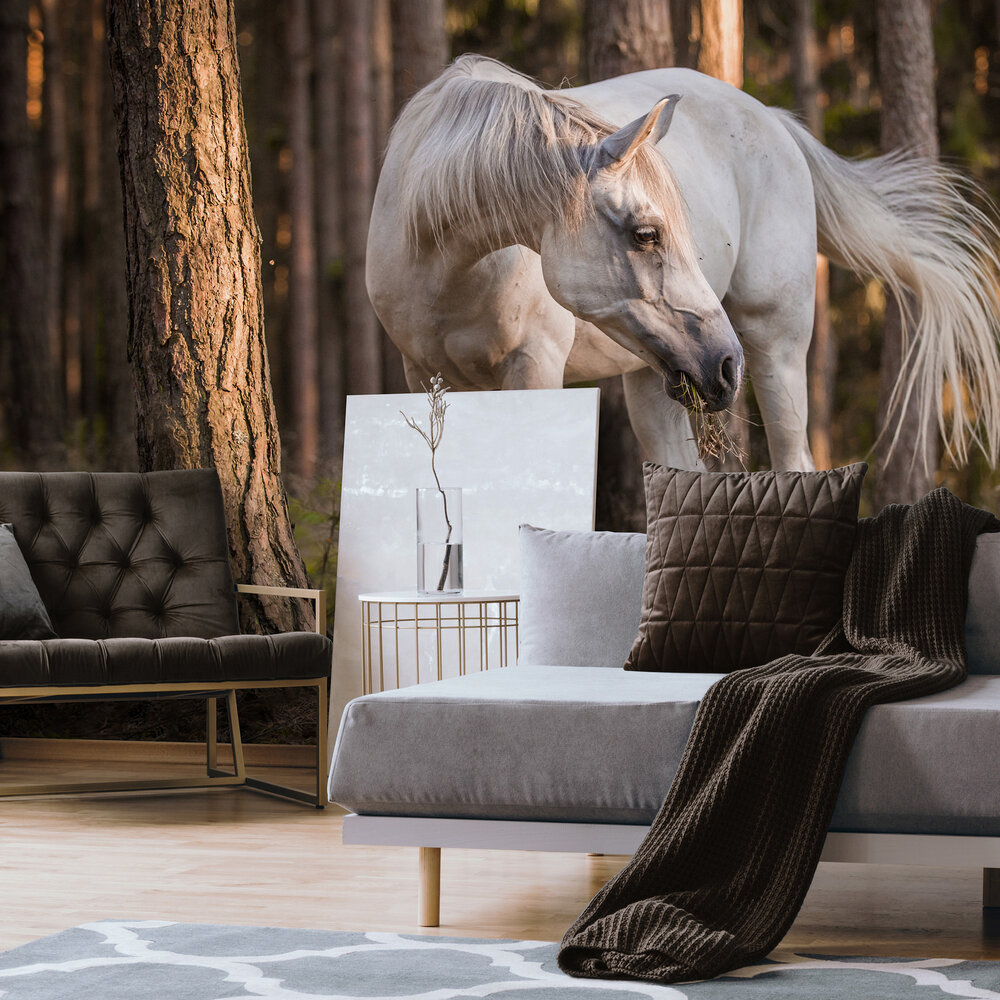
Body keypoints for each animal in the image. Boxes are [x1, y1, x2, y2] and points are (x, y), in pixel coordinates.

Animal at [366, 54, 1000, 472]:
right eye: (646, 233)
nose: (725, 365)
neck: (447, 267)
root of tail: (772, 119)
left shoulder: (534, 371)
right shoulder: (424, 378)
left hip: (776, 347)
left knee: (794, 462)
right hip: (655, 377)